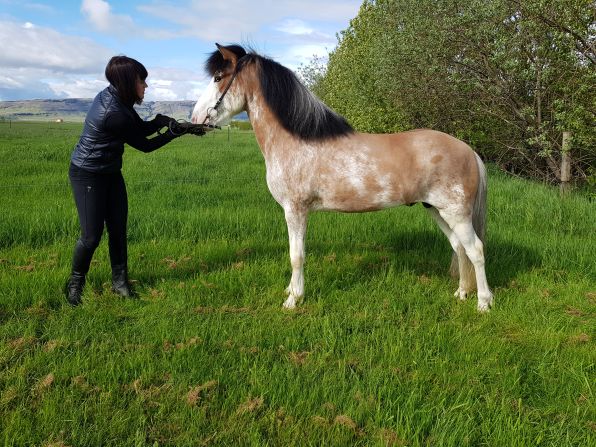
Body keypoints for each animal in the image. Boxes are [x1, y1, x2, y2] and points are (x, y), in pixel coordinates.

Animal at [192, 43, 494, 314]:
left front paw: (293, 300)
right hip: (437, 210)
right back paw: (462, 293)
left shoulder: (295, 210)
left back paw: (483, 303)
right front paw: (291, 291)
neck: (296, 140)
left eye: (218, 77)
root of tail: (469, 150)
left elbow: (296, 256)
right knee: (459, 248)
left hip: (457, 213)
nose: (195, 118)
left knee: (476, 250)